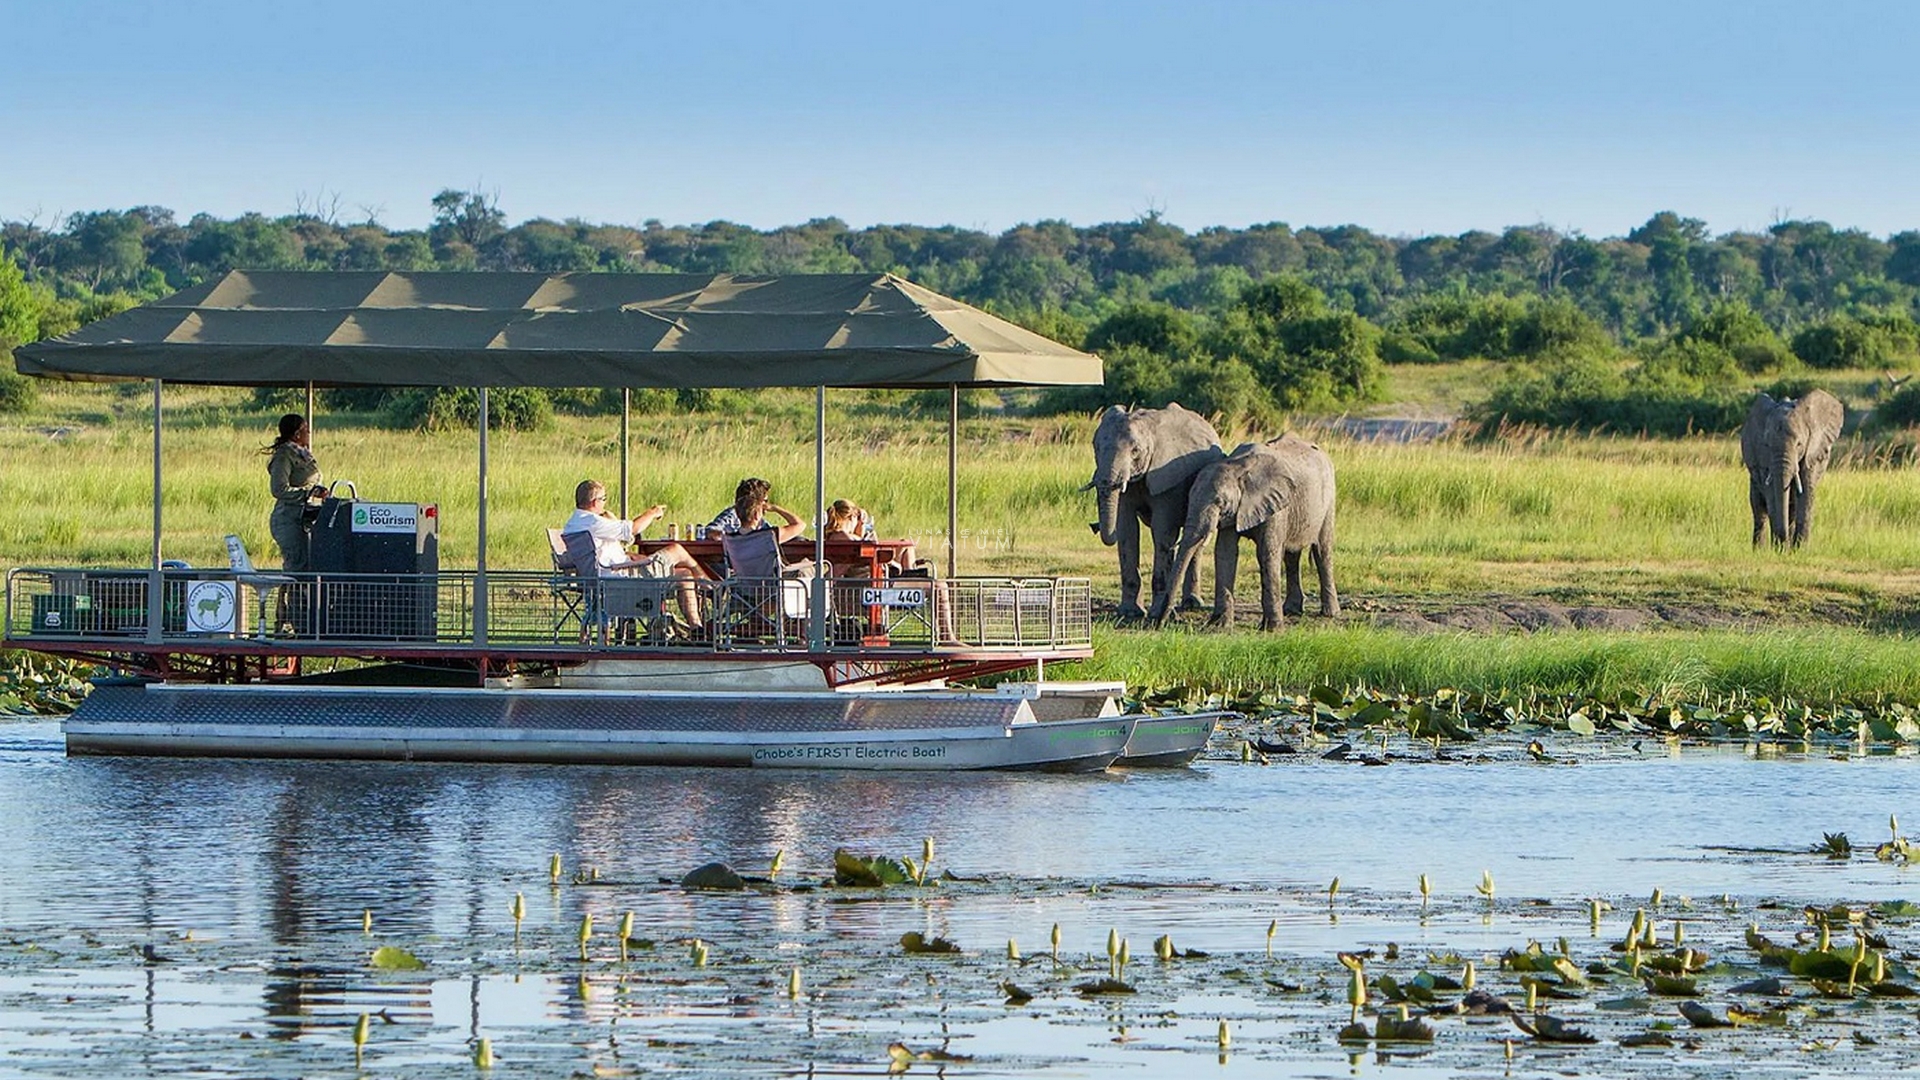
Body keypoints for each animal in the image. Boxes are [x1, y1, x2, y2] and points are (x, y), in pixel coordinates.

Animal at [1090, 403, 1221, 622]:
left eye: (1135, 451)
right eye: (1095, 448)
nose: (1094, 526)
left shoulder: (1168, 477)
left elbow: (1162, 532)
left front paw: (1154, 613)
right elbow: (1127, 530)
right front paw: (1130, 613)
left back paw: (1192, 604)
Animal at [1144, 432, 1344, 626]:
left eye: (1220, 503)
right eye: (1189, 498)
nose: (1159, 623)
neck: (1238, 467)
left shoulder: (1276, 505)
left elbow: (1267, 553)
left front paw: (1272, 628)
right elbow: (1225, 553)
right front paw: (1219, 626)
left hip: (1329, 499)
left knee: (1322, 551)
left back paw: (1330, 613)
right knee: (1291, 555)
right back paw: (1292, 610)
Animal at [1743, 386, 1843, 545]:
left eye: (1799, 444)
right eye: (1767, 445)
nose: (1782, 540)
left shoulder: (1812, 451)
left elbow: (1806, 493)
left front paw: (1799, 548)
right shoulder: (1763, 458)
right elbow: (1771, 494)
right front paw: (1780, 546)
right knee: (1759, 510)